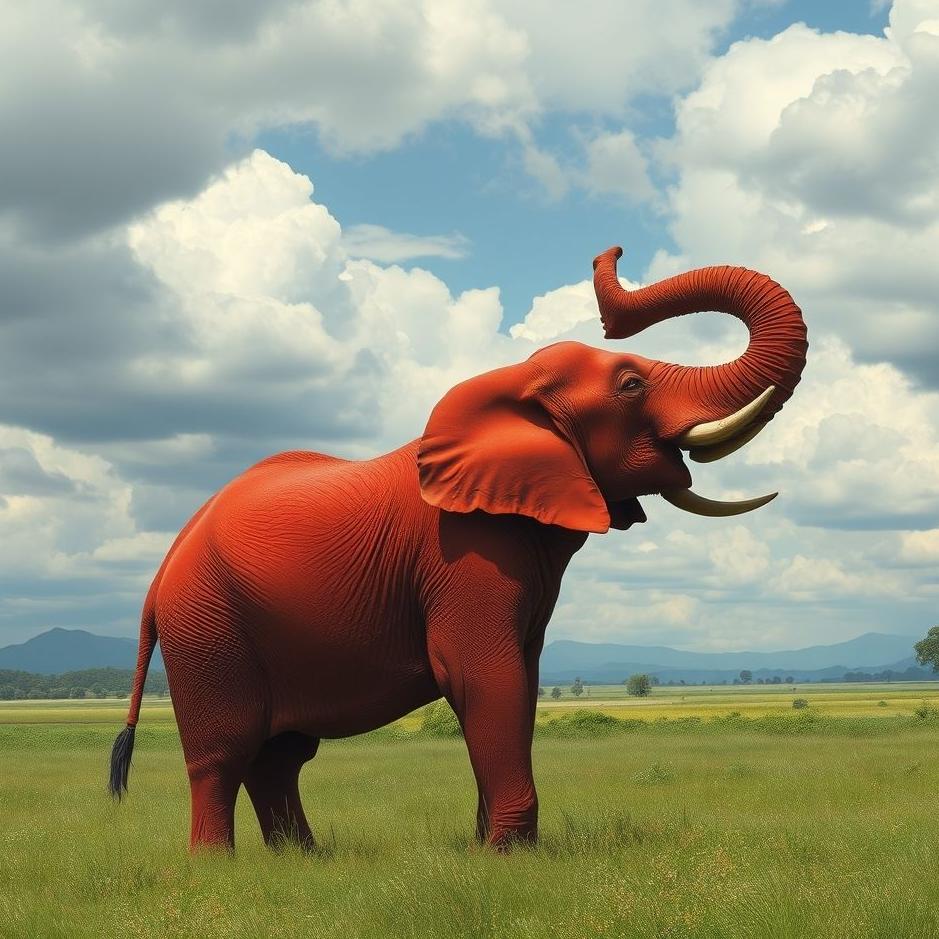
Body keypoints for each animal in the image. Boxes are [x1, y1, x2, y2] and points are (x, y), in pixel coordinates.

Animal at [109, 246, 807, 852]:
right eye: (632, 384)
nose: (610, 250)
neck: (512, 384)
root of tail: (162, 569)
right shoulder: (463, 551)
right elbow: (483, 674)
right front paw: (509, 856)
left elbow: (520, 682)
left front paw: (486, 846)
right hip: (207, 627)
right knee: (224, 752)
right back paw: (217, 867)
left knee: (280, 755)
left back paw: (304, 860)